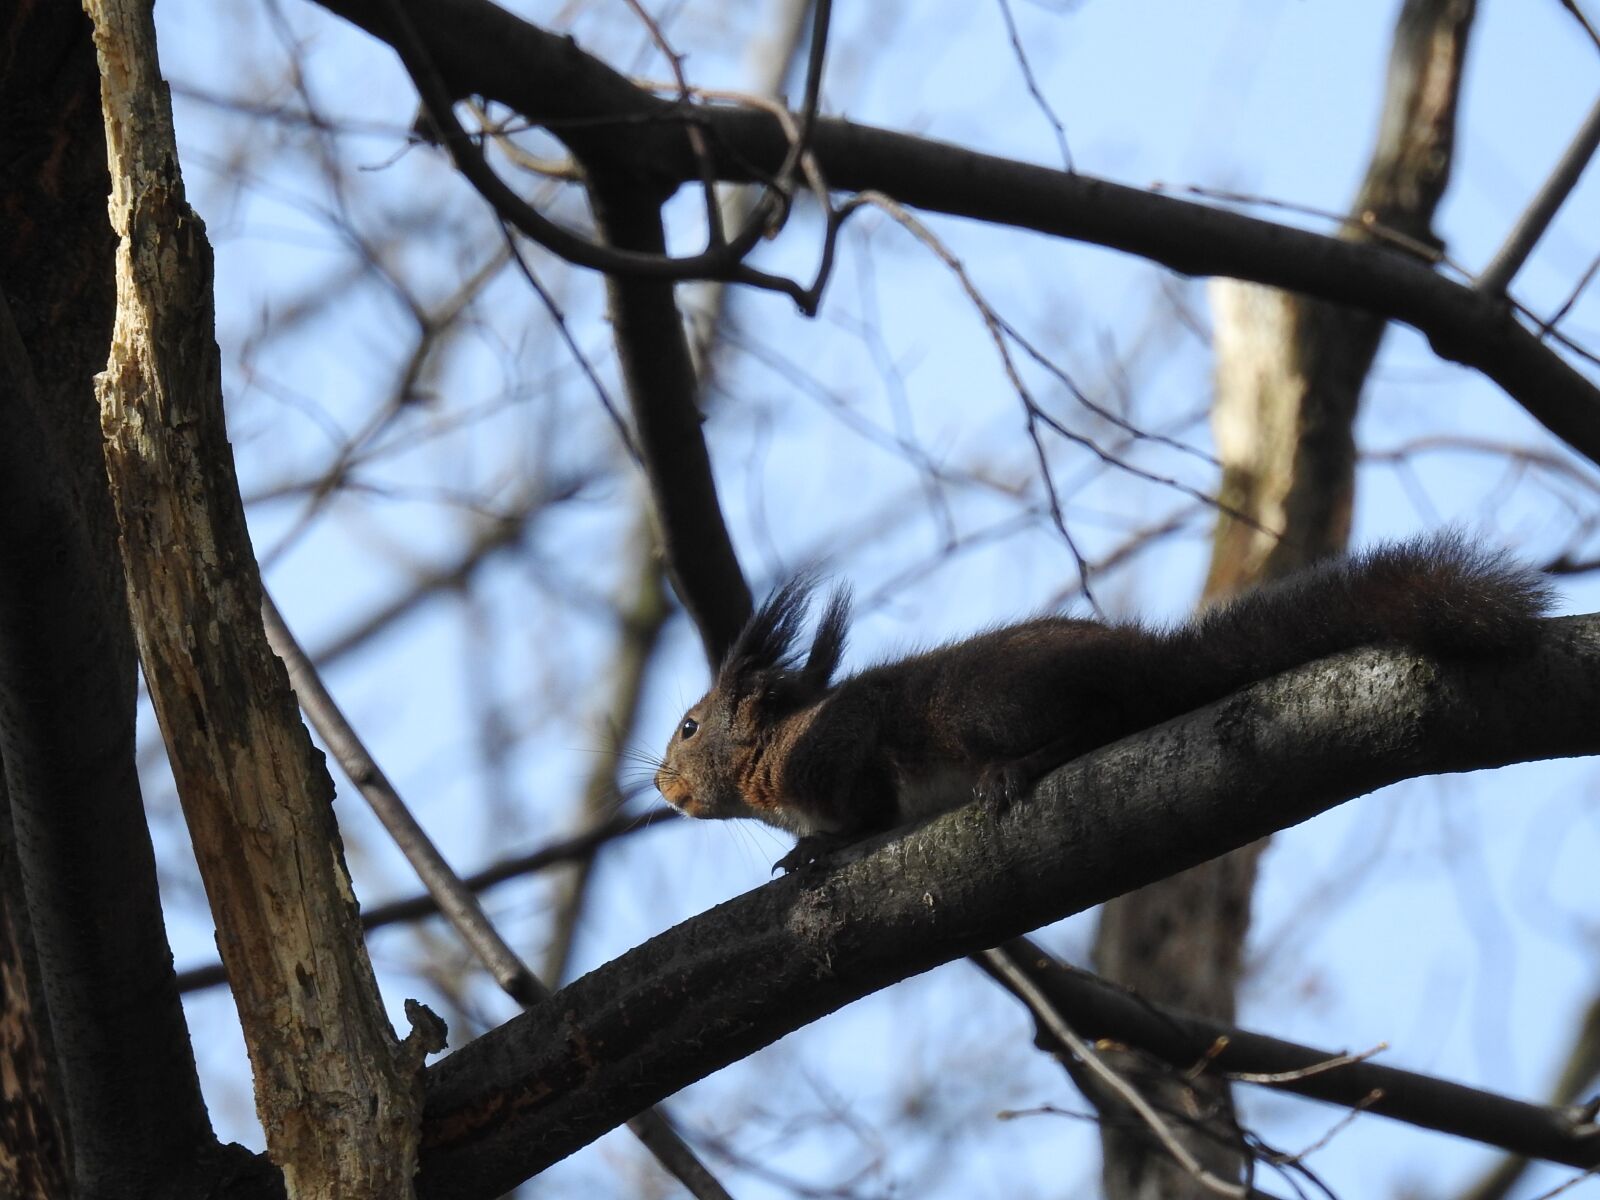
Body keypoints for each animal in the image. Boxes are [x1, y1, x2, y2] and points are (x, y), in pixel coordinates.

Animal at [655, 534, 1552, 870]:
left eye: (690, 726)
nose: (660, 785)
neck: (778, 752)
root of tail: (1145, 664)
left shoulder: (847, 748)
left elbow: (867, 808)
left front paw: (818, 849)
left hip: (985, 707)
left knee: (1096, 724)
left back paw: (1017, 770)